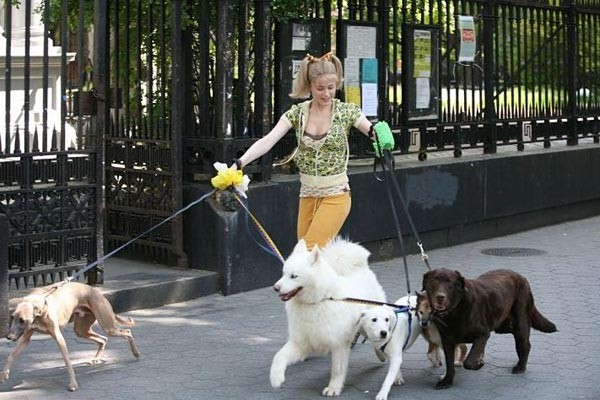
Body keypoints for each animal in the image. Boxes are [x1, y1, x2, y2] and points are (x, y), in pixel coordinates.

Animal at [270, 238, 386, 396]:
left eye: (293, 276)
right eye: (283, 273)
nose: (275, 288)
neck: (317, 301)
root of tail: (362, 269)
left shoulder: (338, 345)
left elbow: (337, 370)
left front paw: (333, 388)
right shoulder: (301, 343)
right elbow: (278, 356)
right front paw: (276, 378)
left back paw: (381, 355)